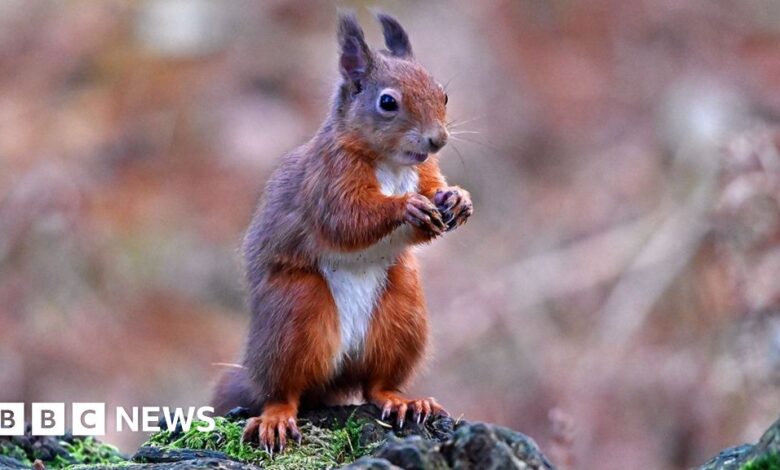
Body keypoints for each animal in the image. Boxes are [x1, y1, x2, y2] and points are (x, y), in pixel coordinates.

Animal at [210, 11, 472, 452]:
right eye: (387, 102)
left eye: (444, 95)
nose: (438, 140)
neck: (392, 164)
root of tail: (339, 373)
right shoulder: (328, 179)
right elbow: (348, 220)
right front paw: (406, 207)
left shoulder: (425, 172)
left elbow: (434, 191)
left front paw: (457, 199)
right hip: (295, 312)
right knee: (284, 389)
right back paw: (276, 417)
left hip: (402, 315)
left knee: (375, 385)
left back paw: (404, 401)